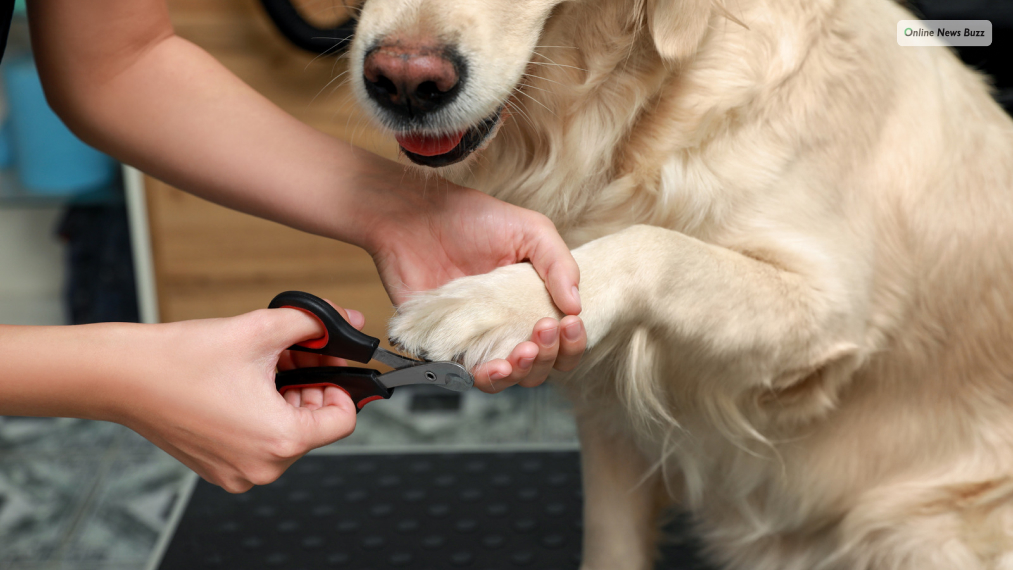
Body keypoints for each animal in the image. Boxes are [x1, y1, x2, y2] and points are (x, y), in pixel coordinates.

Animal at [346, 0, 1013, 566]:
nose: (404, 82)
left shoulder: (825, 318)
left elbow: (653, 245)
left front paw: (492, 300)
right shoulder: (609, 415)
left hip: (914, 528)